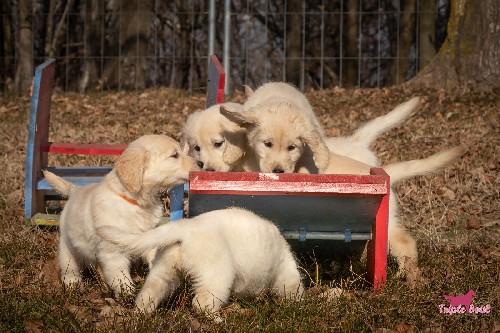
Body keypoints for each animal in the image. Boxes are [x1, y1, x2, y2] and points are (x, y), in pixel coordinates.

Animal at [41, 134, 201, 294]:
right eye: (174, 155)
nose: (200, 163)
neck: (135, 203)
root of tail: (76, 190)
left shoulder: (148, 237)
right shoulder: (113, 252)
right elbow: (120, 277)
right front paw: (128, 294)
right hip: (68, 245)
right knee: (69, 265)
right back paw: (72, 283)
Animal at [95, 208, 302, 314]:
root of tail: (185, 227)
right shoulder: (284, 272)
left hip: (164, 269)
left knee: (147, 295)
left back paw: (140, 315)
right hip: (217, 274)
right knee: (201, 303)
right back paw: (218, 320)